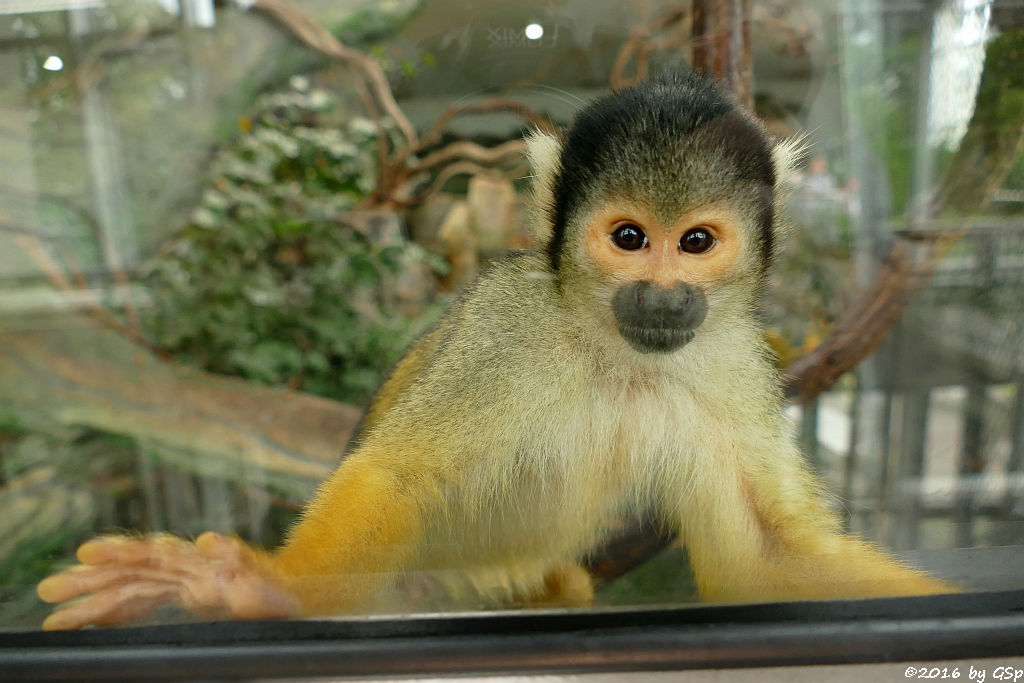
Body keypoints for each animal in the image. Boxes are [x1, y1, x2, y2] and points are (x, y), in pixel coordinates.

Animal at [37, 73, 950, 630]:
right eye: (628, 237)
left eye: (695, 242)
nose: (660, 293)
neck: (614, 346)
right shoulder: (511, 326)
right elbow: (397, 475)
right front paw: (267, 587)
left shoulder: (732, 357)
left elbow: (762, 560)